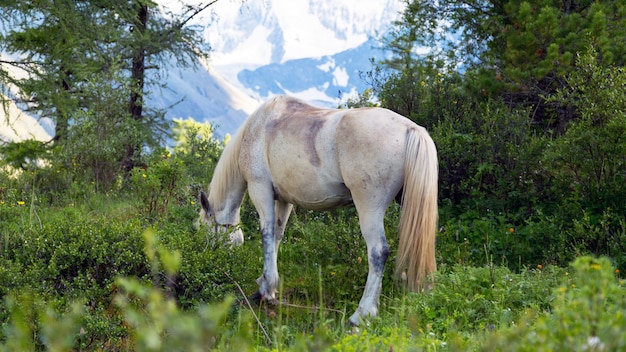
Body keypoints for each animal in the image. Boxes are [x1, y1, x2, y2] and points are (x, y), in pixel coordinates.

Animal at [197, 95, 436, 326]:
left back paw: (361, 314)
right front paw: (270, 286)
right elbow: (277, 236)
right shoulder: (284, 199)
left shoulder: (260, 189)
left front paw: (265, 288)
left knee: (378, 252)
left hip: (369, 208)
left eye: (206, 234)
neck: (259, 127)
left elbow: (266, 234)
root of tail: (410, 129)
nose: (212, 262)